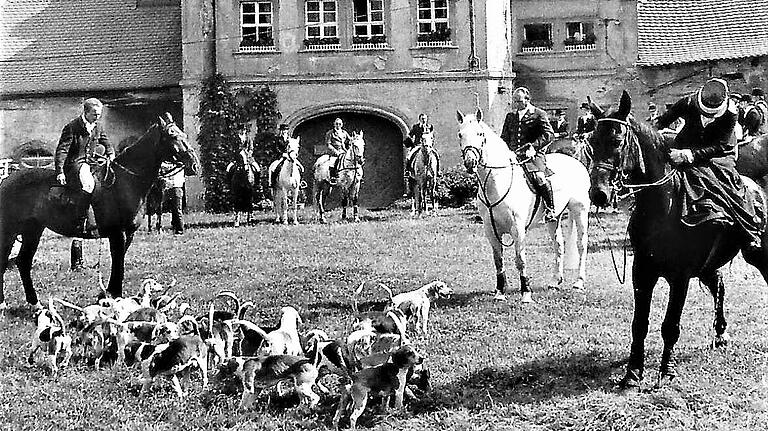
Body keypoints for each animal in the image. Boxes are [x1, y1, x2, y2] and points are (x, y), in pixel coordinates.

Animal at [0, 114, 198, 310]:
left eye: (183, 134)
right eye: (173, 135)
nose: (194, 164)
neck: (125, 181)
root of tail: (7, 180)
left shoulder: (128, 234)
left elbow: (119, 261)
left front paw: (106, 295)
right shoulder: (118, 233)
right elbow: (118, 263)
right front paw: (115, 296)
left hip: (33, 230)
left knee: (23, 262)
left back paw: (35, 303)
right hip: (10, 232)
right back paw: (3, 302)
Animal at [460, 109, 592, 302]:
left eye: (480, 134)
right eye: (460, 134)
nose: (470, 163)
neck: (497, 183)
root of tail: (576, 163)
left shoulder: (518, 228)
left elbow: (520, 260)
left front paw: (526, 293)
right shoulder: (490, 230)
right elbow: (498, 260)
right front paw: (500, 292)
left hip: (580, 209)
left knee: (581, 244)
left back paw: (579, 282)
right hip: (554, 218)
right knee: (558, 244)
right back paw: (555, 281)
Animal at [588, 93, 768, 390]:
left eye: (616, 141)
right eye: (592, 142)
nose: (599, 194)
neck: (664, 206)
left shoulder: (679, 277)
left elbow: (670, 326)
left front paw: (666, 370)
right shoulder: (642, 273)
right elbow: (640, 324)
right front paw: (633, 372)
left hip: (757, 254)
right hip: (708, 266)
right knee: (719, 286)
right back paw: (720, 333)